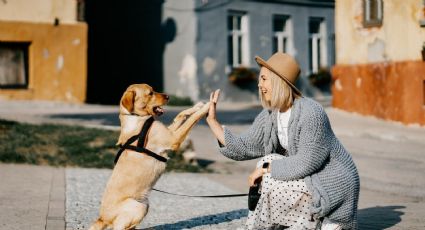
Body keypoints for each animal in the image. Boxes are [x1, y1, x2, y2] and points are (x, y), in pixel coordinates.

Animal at [89, 84, 209, 230]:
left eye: (153, 89)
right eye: (150, 93)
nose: (168, 96)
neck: (136, 118)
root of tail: (102, 218)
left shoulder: (169, 132)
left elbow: (180, 115)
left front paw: (197, 106)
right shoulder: (173, 139)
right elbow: (192, 119)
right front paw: (207, 107)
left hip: (145, 204)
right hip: (138, 206)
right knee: (119, 227)